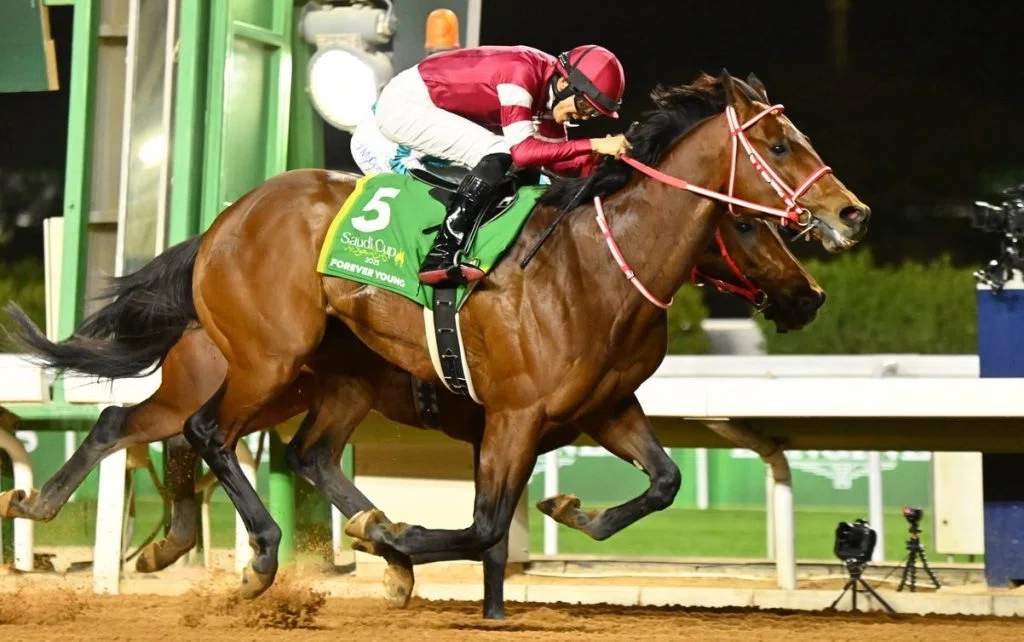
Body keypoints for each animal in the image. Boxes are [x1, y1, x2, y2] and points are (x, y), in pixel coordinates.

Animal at [4, 70, 867, 612]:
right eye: (779, 149)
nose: (849, 215)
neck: (596, 263)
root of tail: (225, 221)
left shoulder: (601, 407)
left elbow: (663, 483)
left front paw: (567, 510)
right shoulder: (514, 415)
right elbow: (485, 526)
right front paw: (408, 542)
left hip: (316, 380)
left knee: (244, 444)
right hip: (263, 361)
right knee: (195, 430)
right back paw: (256, 557)